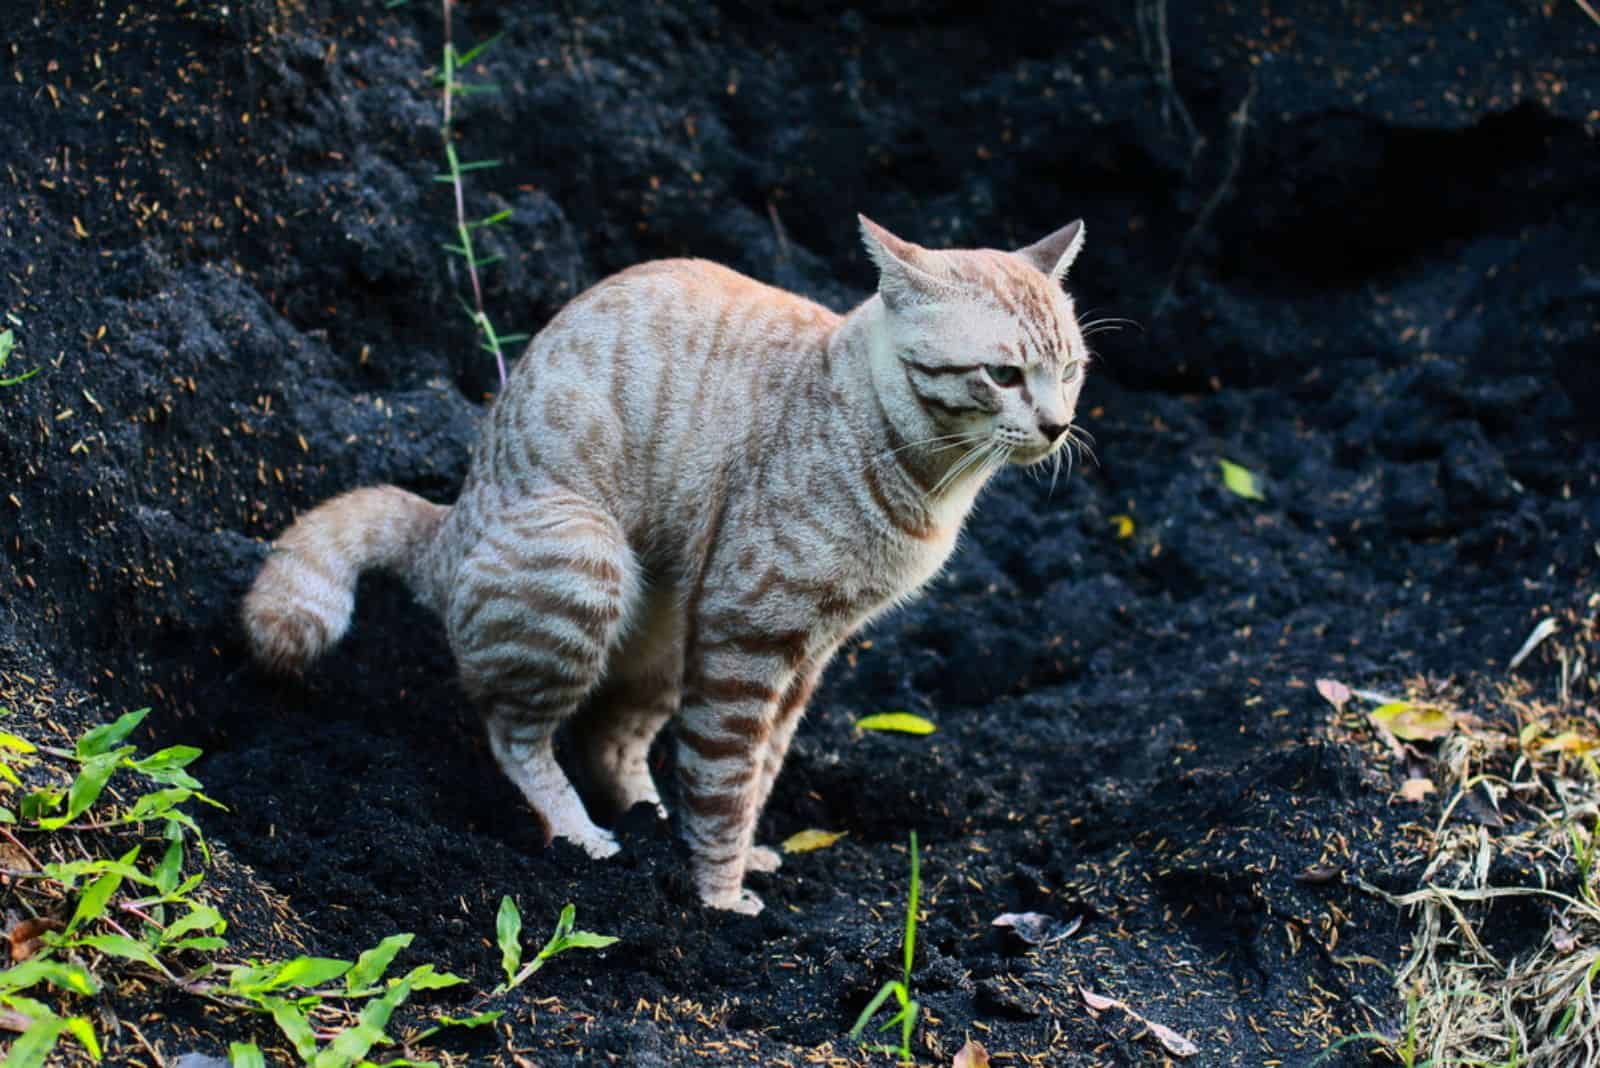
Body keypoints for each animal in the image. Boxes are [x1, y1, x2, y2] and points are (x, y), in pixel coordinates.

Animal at [243, 219, 1094, 920]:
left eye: (1073, 370)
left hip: (663, 630)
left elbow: (760, 770)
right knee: (517, 736)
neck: (925, 478)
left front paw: (734, 859)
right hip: (582, 566)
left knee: (611, 742)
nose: (1059, 426)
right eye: (1004, 375)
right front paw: (718, 899)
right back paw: (586, 836)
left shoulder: (810, 653)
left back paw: (649, 819)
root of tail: (453, 522)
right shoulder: (750, 635)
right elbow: (726, 777)